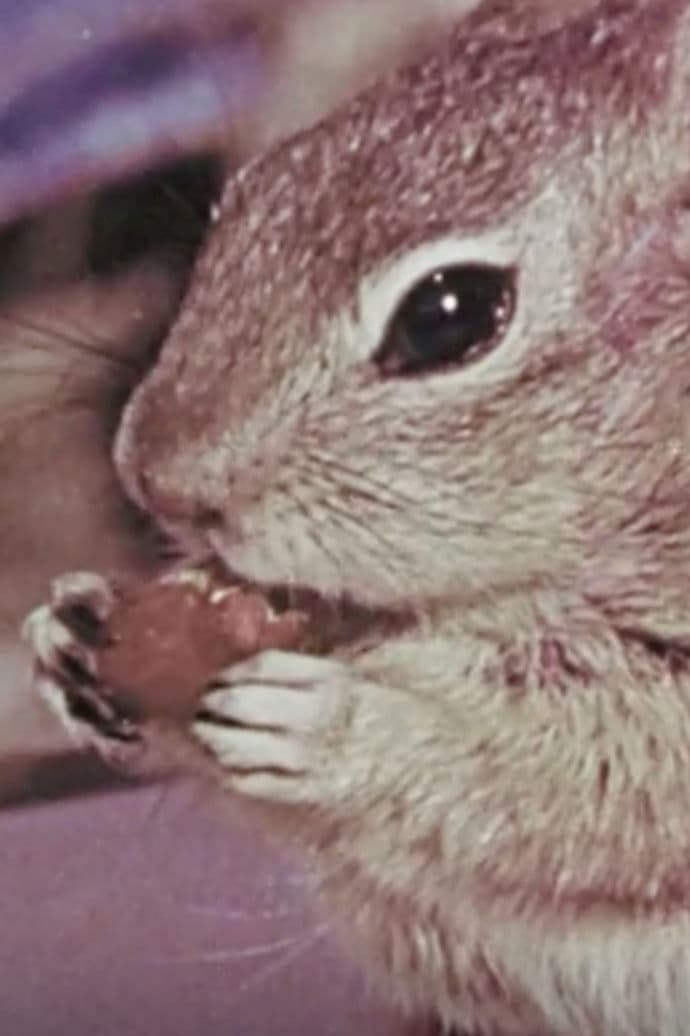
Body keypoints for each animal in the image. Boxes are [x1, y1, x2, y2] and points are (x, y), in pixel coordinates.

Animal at [21, 1, 690, 1032]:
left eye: (450, 315)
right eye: (246, 193)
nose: (155, 481)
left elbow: (590, 768)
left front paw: (335, 724)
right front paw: (70, 633)